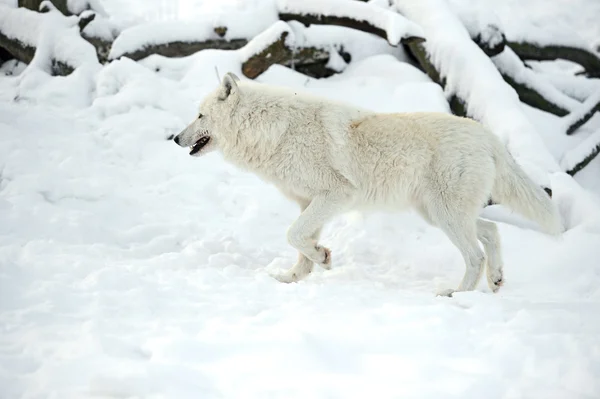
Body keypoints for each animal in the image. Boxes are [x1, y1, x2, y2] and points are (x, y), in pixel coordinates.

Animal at [172, 72, 564, 296]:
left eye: (200, 115)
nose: (175, 138)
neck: (274, 131)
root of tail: (487, 135)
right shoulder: (309, 203)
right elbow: (300, 244)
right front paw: (296, 277)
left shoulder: (336, 195)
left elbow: (293, 235)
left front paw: (321, 259)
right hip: (439, 215)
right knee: (492, 231)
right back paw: (495, 282)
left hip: (445, 216)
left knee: (475, 255)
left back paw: (458, 295)